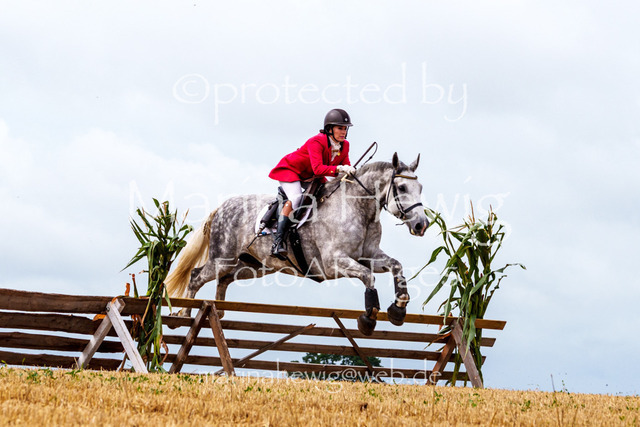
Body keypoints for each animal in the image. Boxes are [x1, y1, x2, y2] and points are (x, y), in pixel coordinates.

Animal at [165, 152, 429, 335]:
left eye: (420, 187)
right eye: (402, 187)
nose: (421, 225)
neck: (358, 208)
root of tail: (221, 207)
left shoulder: (370, 254)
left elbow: (396, 266)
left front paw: (399, 309)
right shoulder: (333, 263)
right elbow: (368, 276)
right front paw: (369, 319)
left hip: (253, 266)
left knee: (225, 279)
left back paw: (218, 312)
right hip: (223, 258)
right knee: (197, 276)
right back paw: (184, 315)